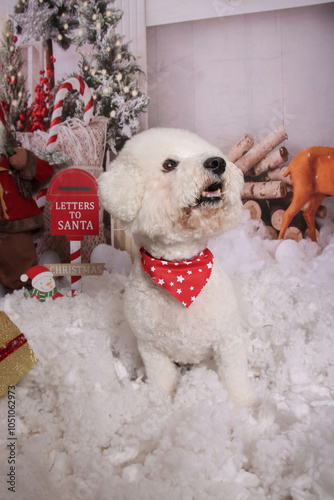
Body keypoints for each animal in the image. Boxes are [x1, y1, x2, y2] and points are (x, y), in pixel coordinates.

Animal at [98, 129, 258, 406]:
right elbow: (163, 380)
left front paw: (246, 406)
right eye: (169, 165)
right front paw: (162, 403)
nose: (218, 162)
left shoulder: (228, 340)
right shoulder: (152, 349)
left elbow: (235, 377)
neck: (180, 269)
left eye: (205, 152)